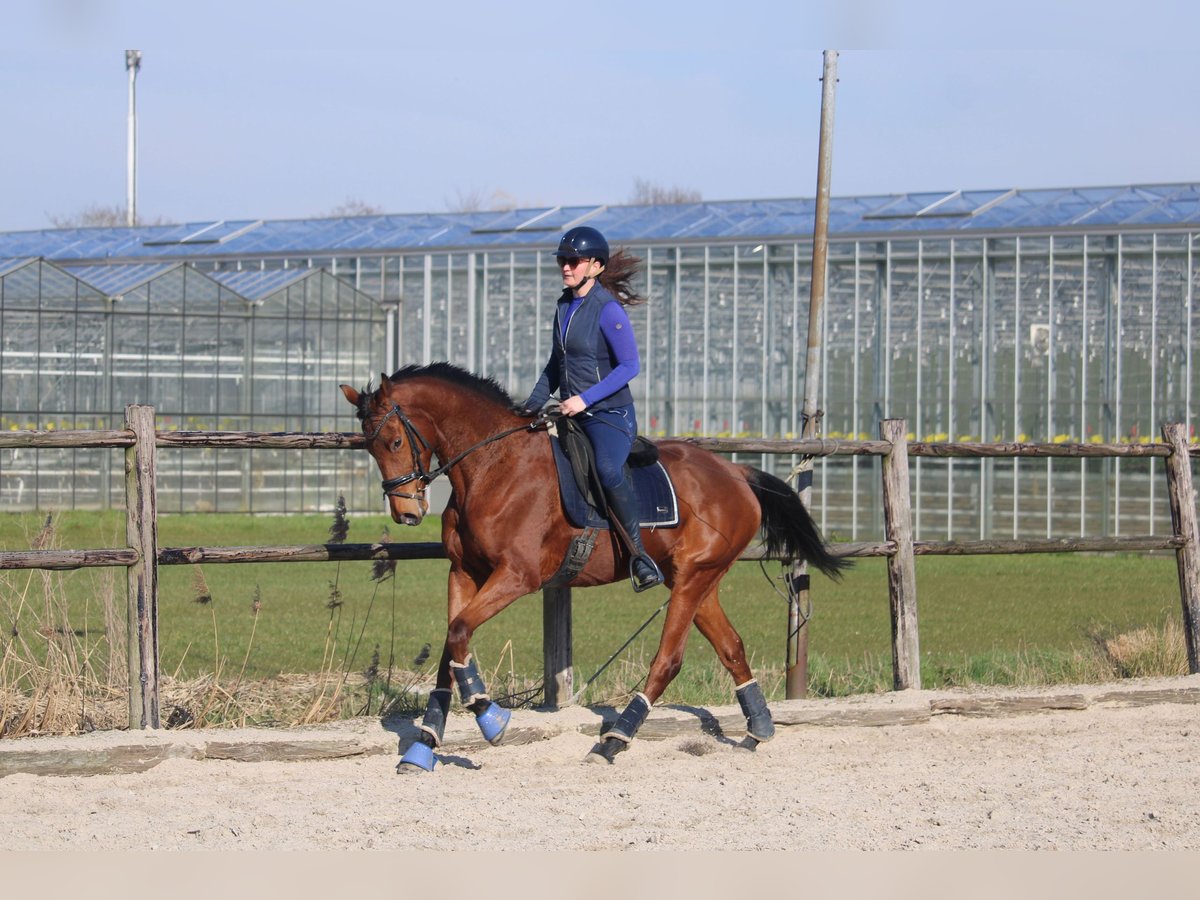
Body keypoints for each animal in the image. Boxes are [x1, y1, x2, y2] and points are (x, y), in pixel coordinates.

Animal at [338, 362, 844, 772]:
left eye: (395, 440)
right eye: (369, 448)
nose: (406, 513)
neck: (492, 466)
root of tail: (737, 473)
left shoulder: (517, 577)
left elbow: (460, 632)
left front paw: (491, 718)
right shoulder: (464, 573)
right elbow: (451, 649)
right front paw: (423, 746)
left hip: (692, 579)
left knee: (669, 660)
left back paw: (613, 742)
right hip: (698, 581)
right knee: (732, 648)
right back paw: (759, 728)